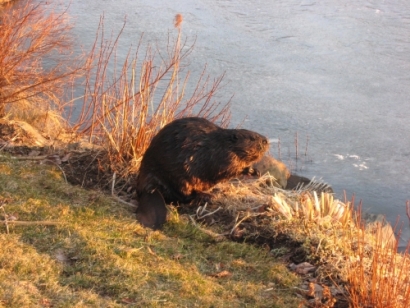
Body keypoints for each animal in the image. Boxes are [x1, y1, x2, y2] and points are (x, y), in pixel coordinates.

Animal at [135, 116, 270, 230]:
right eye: (252, 138)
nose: (266, 141)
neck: (222, 143)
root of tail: (148, 189)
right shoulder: (223, 156)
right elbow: (226, 169)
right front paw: (249, 170)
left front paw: (256, 171)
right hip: (179, 178)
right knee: (183, 195)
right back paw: (208, 196)